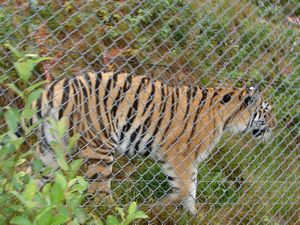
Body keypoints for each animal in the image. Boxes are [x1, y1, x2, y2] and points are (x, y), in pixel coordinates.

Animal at [31, 71, 274, 214]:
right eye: (266, 111)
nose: (276, 124)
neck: (227, 118)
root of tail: (63, 84)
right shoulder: (179, 155)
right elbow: (185, 188)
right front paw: (162, 205)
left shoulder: (181, 158)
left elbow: (191, 189)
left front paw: (192, 215)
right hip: (100, 147)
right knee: (99, 193)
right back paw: (115, 213)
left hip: (51, 148)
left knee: (35, 178)